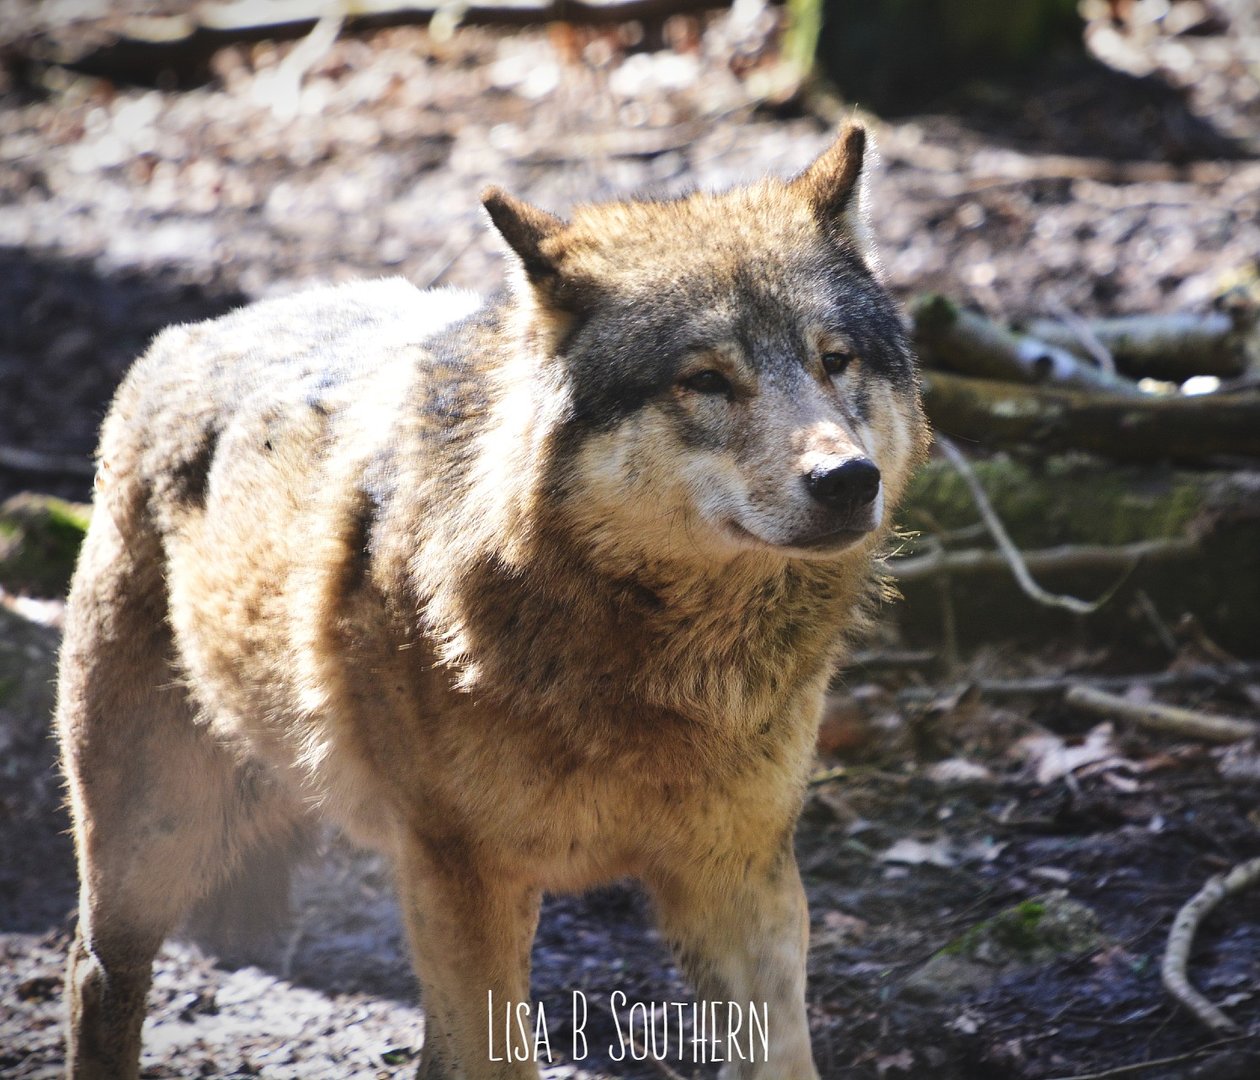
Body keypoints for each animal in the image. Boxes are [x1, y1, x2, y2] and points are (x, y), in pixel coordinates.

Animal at [56, 122, 928, 1079]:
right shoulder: (463, 874)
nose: (848, 480)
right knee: (92, 972)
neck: (649, 667)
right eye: (704, 381)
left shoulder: (740, 876)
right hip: (150, 846)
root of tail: (182, 337)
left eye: (834, 361)